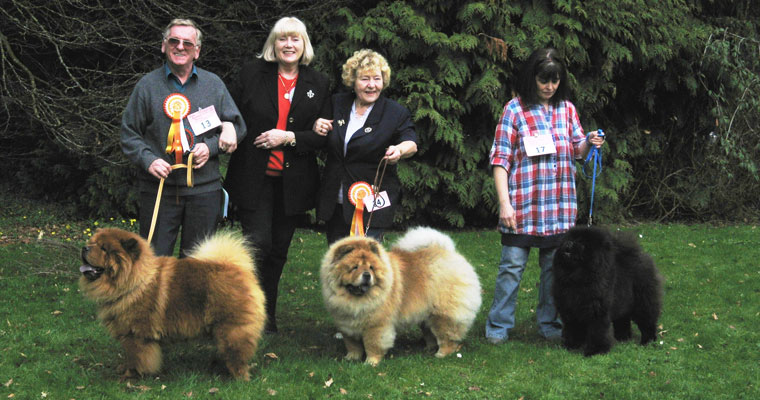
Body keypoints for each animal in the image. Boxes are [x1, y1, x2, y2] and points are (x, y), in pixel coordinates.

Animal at [548, 225, 664, 356]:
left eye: (582, 244)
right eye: (569, 239)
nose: (568, 243)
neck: (576, 279)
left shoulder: (597, 311)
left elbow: (597, 332)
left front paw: (595, 351)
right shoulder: (569, 310)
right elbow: (572, 329)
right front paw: (571, 346)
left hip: (643, 301)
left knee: (647, 321)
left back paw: (648, 341)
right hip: (623, 303)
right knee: (623, 321)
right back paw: (623, 338)